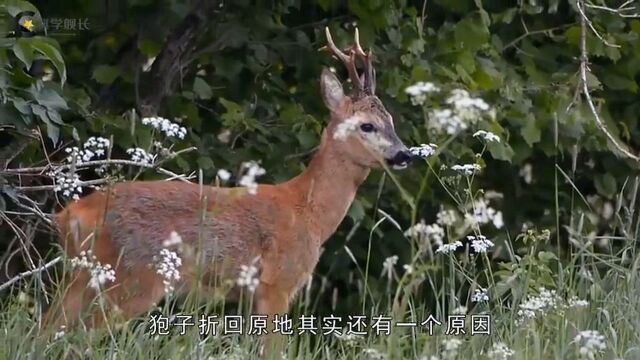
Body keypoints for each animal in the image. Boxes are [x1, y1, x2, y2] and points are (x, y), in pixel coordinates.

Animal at [43, 27, 416, 352]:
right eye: (366, 126)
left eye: (392, 122)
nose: (404, 155)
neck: (308, 211)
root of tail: (70, 215)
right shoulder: (276, 283)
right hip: (132, 275)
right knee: (78, 337)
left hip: (82, 275)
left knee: (47, 328)